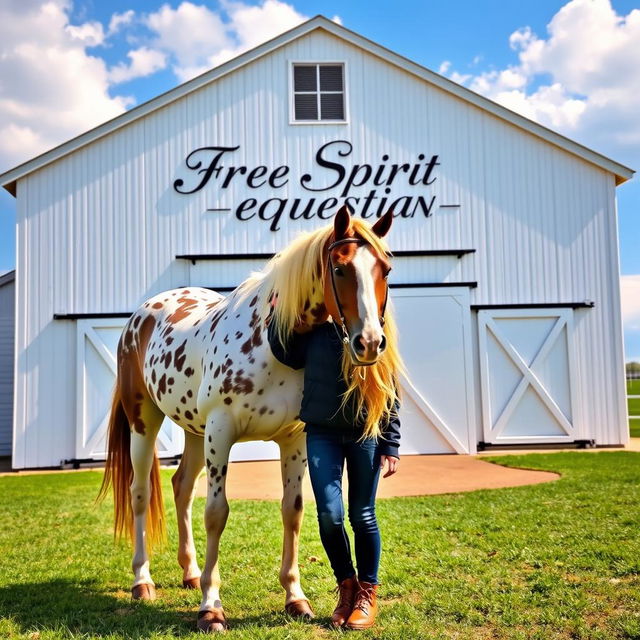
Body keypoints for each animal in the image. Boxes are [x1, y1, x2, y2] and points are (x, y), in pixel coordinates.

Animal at [99, 205, 400, 632]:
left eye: (385, 269)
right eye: (340, 269)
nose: (370, 343)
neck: (275, 343)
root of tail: (142, 315)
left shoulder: (294, 440)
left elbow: (293, 511)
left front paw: (296, 598)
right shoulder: (221, 432)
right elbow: (216, 513)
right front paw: (211, 607)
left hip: (195, 431)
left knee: (181, 487)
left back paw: (190, 573)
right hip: (145, 421)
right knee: (140, 494)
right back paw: (143, 580)